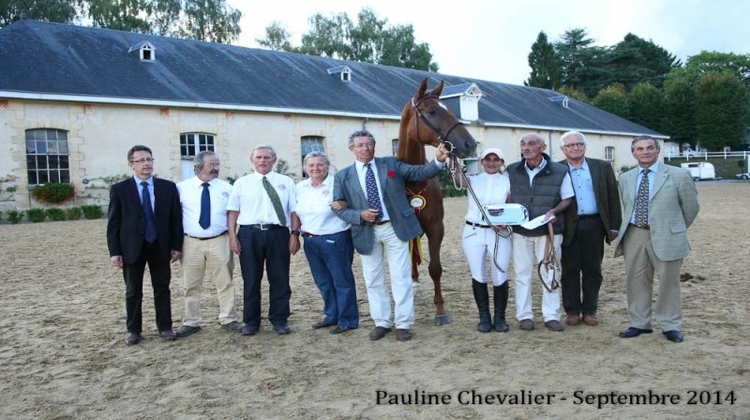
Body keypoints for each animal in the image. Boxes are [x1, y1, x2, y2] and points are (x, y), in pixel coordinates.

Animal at [396, 77, 478, 324]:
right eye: (432, 111)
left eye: (450, 109)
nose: (470, 144)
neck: (413, 179)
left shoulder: (435, 227)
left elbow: (435, 268)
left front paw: (440, 310)